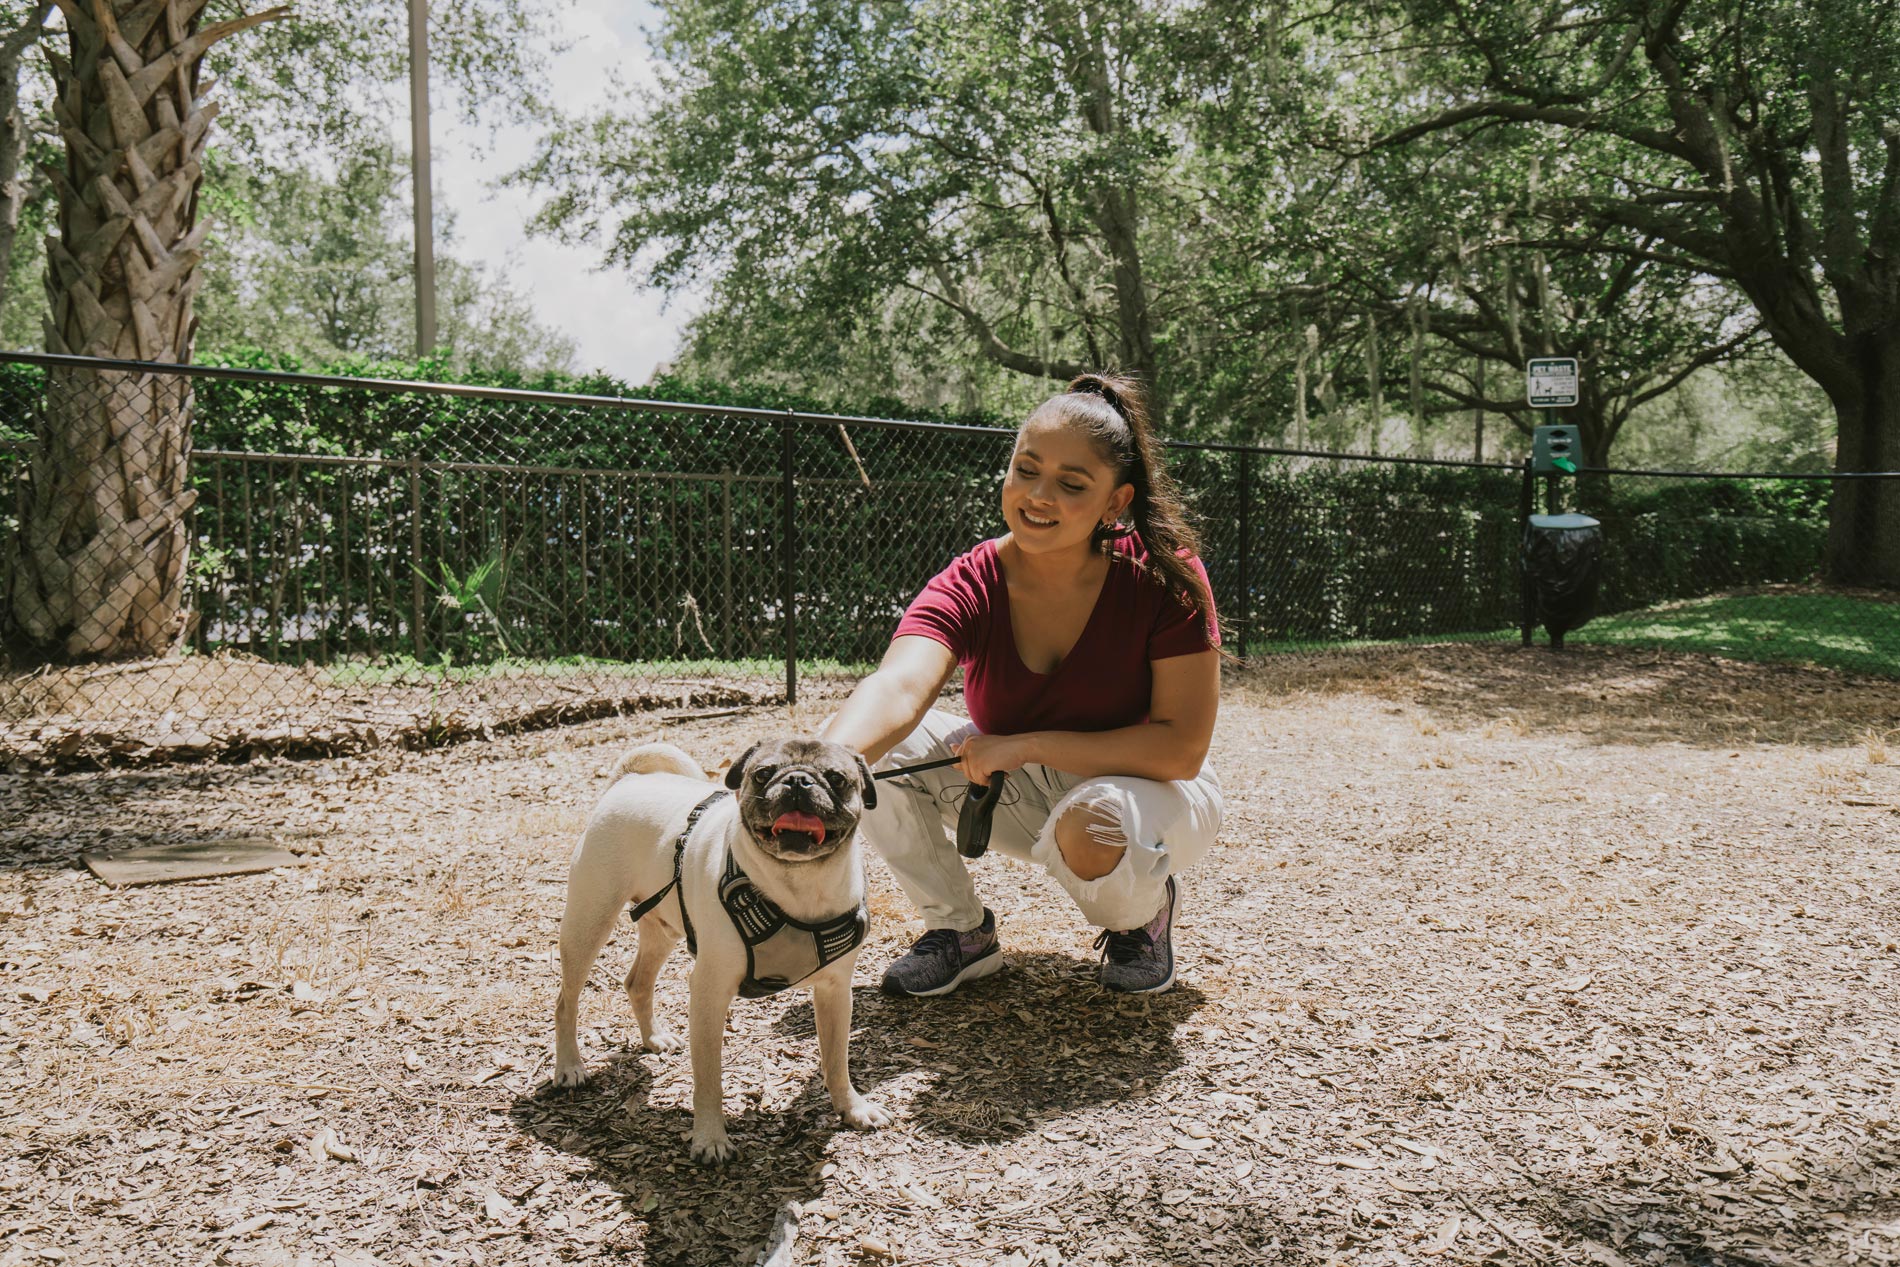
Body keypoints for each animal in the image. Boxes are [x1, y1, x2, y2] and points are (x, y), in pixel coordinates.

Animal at [551, 737, 889, 1162]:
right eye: (762, 774)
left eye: (836, 779)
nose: (798, 781)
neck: (799, 884)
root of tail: (626, 781)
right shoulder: (710, 994)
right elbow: (708, 1077)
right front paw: (710, 1137)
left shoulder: (835, 992)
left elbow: (836, 1059)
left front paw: (852, 1108)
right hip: (588, 925)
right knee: (566, 1002)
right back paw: (569, 1067)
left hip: (662, 931)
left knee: (637, 983)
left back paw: (654, 1038)